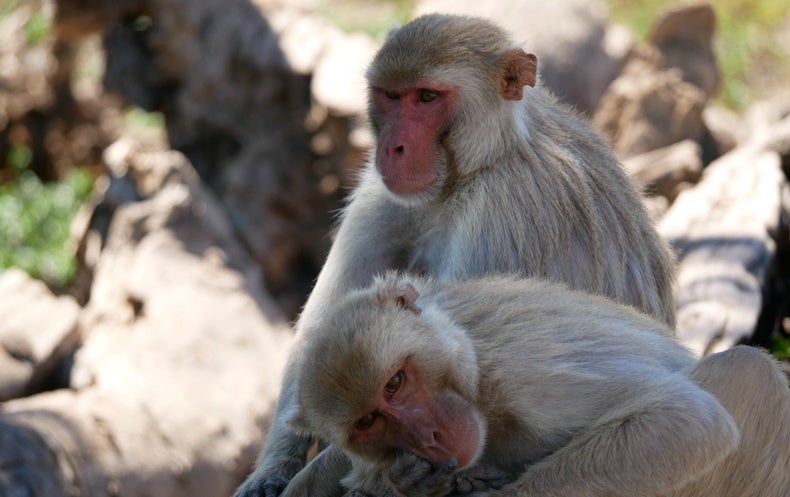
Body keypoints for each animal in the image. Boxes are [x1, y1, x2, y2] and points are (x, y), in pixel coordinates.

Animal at [234, 13, 676, 497]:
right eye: (391, 96)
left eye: (427, 97)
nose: (393, 147)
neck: (481, 163)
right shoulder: (380, 190)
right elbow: (326, 343)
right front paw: (269, 476)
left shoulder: (504, 210)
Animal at [282, 272, 790, 497]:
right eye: (369, 419)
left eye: (395, 383)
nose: (429, 435)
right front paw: (400, 482)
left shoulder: (526, 372)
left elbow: (687, 421)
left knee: (749, 371)